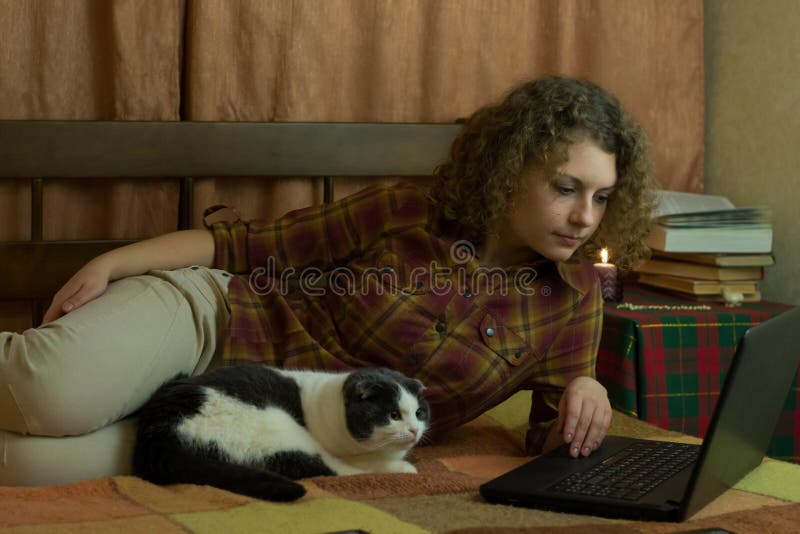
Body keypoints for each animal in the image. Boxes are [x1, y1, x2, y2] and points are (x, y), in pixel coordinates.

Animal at [132, 366, 432, 504]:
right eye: (393, 415)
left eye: (419, 413)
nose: (415, 430)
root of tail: (155, 435)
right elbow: (357, 466)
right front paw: (398, 466)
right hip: (277, 427)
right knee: (325, 468)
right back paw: (402, 470)